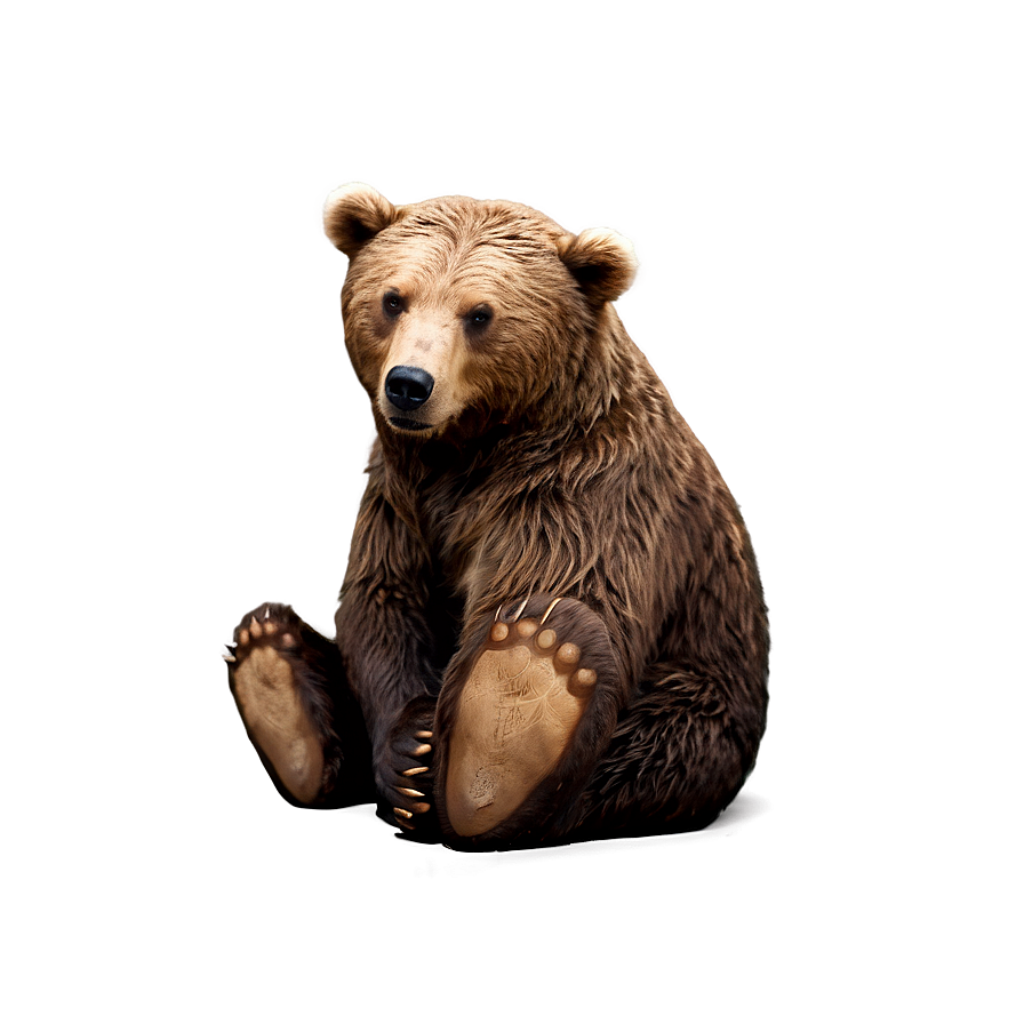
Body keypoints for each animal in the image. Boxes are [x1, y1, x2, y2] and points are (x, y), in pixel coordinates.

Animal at [219, 180, 771, 849]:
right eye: (393, 298)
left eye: (479, 314)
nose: (409, 384)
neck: (474, 447)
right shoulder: (399, 492)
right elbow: (383, 600)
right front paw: (410, 755)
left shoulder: (587, 489)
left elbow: (554, 582)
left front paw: (513, 680)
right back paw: (272, 671)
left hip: (703, 681)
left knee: (649, 751)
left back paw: (519, 709)